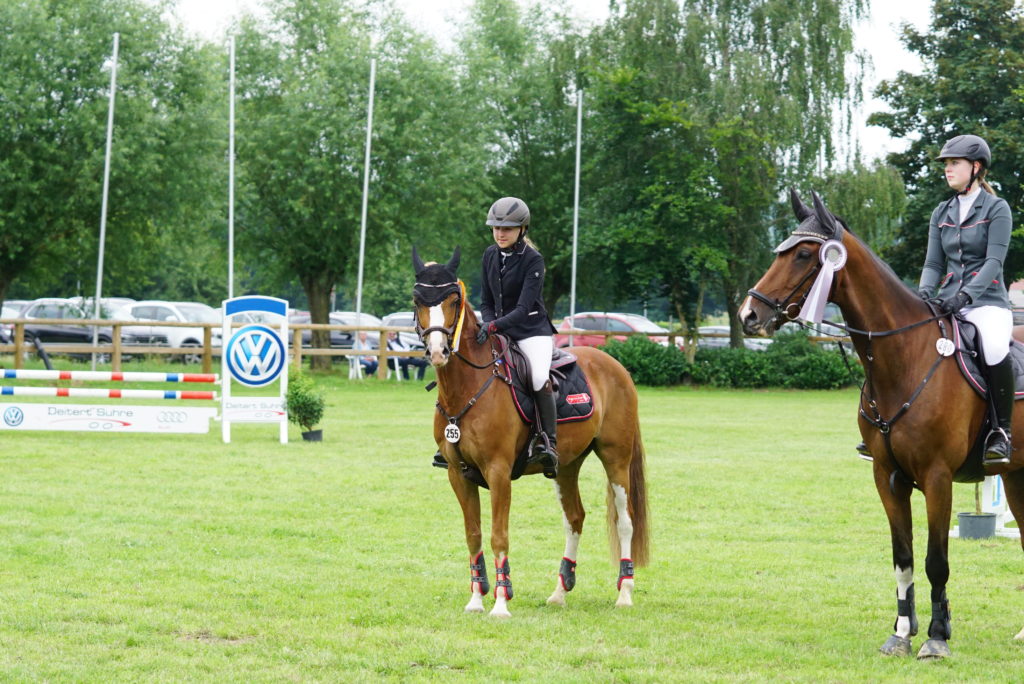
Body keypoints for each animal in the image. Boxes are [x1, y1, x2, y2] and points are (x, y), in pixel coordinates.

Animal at [413, 248, 647, 618]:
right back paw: (560, 591)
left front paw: (501, 602)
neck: (467, 387)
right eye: (418, 299)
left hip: (616, 458)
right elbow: (473, 534)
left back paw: (624, 592)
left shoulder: (498, 472)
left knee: (626, 520)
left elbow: (498, 535)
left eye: (453, 299)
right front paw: (476, 599)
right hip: (566, 465)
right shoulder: (458, 473)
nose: (438, 351)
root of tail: (615, 366)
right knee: (574, 518)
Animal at [741, 189, 1019, 659]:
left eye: (803, 254)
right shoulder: (888, 476)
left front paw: (937, 637)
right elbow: (902, 558)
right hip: (1016, 477)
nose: (748, 316)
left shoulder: (937, 477)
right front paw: (902, 632)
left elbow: (936, 560)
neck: (903, 357)